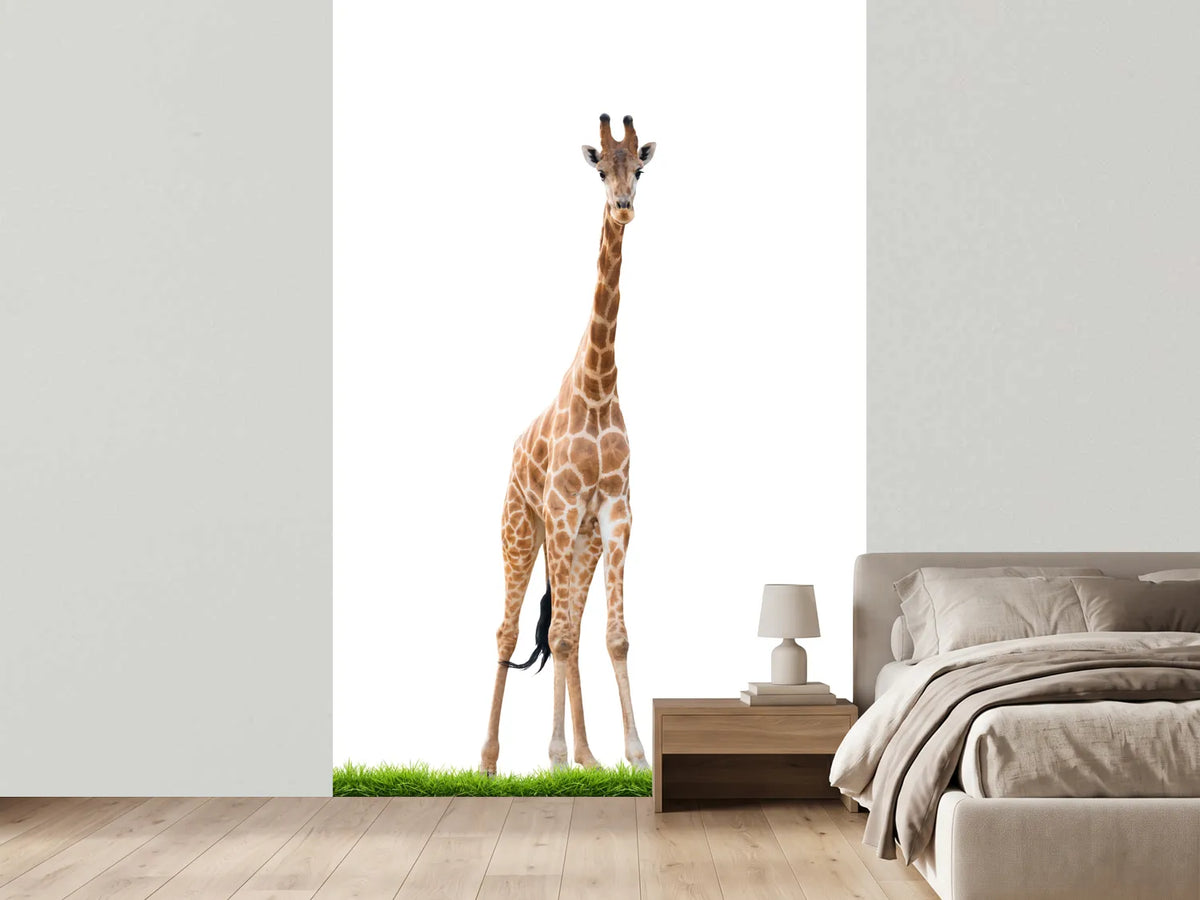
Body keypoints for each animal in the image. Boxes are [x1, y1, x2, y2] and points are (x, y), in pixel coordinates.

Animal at [480, 114, 656, 775]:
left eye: (640, 169)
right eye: (600, 170)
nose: (624, 207)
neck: (599, 385)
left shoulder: (614, 514)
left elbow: (613, 635)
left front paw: (633, 753)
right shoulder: (559, 510)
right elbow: (549, 635)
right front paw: (552, 756)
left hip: (579, 542)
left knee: (571, 629)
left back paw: (587, 756)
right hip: (521, 528)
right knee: (511, 632)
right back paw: (490, 760)